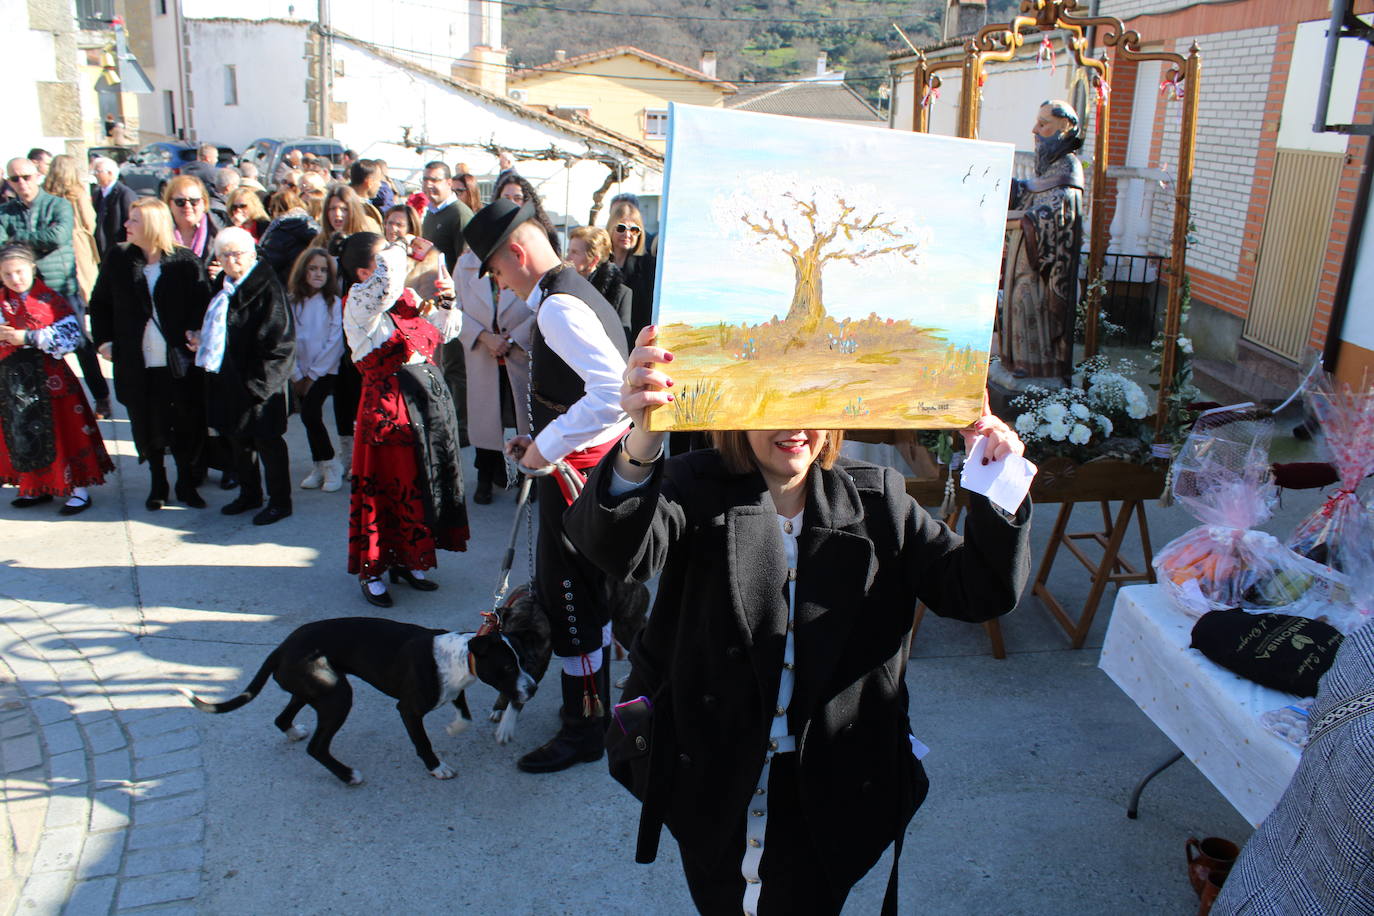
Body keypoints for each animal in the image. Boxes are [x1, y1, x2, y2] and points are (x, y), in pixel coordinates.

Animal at [185, 612, 538, 785]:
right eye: (508, 667)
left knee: (281, 718)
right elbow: (423, 742)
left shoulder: (454, 690)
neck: (460, 656)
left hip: (316, 689)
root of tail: (281, 648)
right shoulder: (408, 709)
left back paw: (293, 732)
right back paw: (347, 775)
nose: (533, 688)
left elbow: (464, 716)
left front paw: (453, 729)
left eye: (524, 659)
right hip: (338, 696)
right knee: (317, 747)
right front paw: (437, 768)